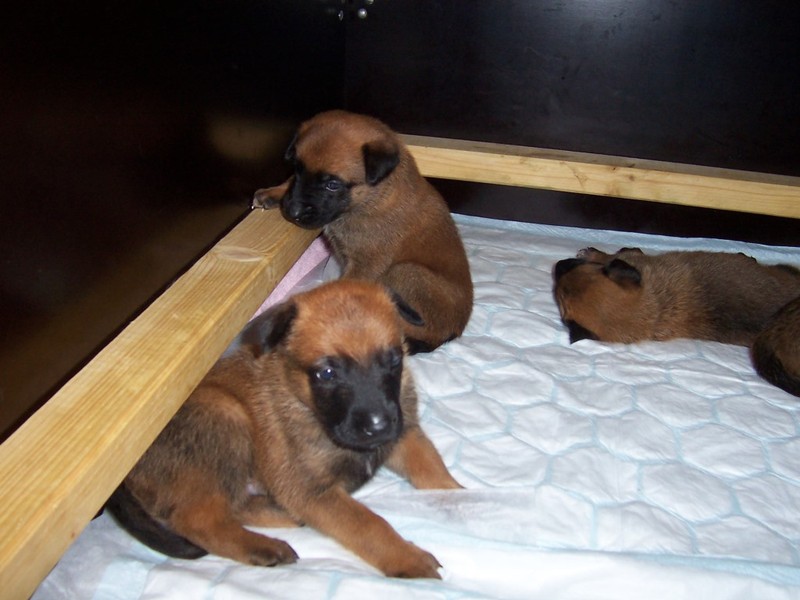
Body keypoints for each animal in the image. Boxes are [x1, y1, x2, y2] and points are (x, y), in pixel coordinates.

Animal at [106, 280, 461, 578]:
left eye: (393, 360)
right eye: (327, 373)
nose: (379, 427)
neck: (307, 408)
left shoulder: (404, 435)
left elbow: (431, 468)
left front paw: (461, 495)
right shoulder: (311, 490)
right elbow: (368, 524)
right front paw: (406, 557)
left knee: (232, 508)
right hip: (226, 413)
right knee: (198, 520)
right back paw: (262, 546)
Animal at [252, 110, 473, 354]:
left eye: (332, 184)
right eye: (297, 169)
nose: (292, 211)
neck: (372, 197)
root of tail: (452, 332)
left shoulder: (365, 265)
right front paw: (275, 191)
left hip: (406, 272)